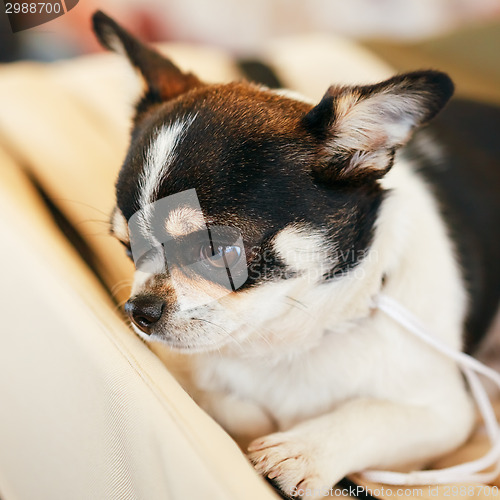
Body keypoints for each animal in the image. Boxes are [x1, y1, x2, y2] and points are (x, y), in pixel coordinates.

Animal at [93, 11, 500, 496]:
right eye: (126, 247)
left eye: (219, 252)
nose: (140, 310)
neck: (288, 339)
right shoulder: (194, 371)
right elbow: (228, 404)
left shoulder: (446, 414)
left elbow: (371, 415)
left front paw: (302, 451)